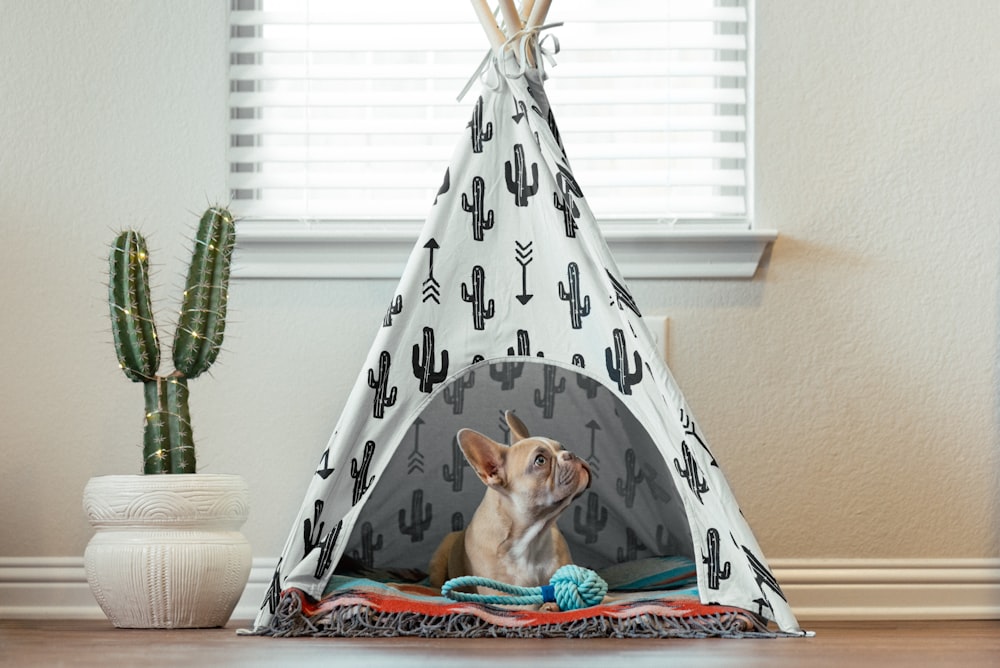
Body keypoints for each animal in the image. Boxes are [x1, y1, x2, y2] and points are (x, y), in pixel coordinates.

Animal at [430, 410, 592, 608]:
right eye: (540, 460)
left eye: (563, 447)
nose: (571, 454)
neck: (530, 538)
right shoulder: (508, 598)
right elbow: (532, 605)